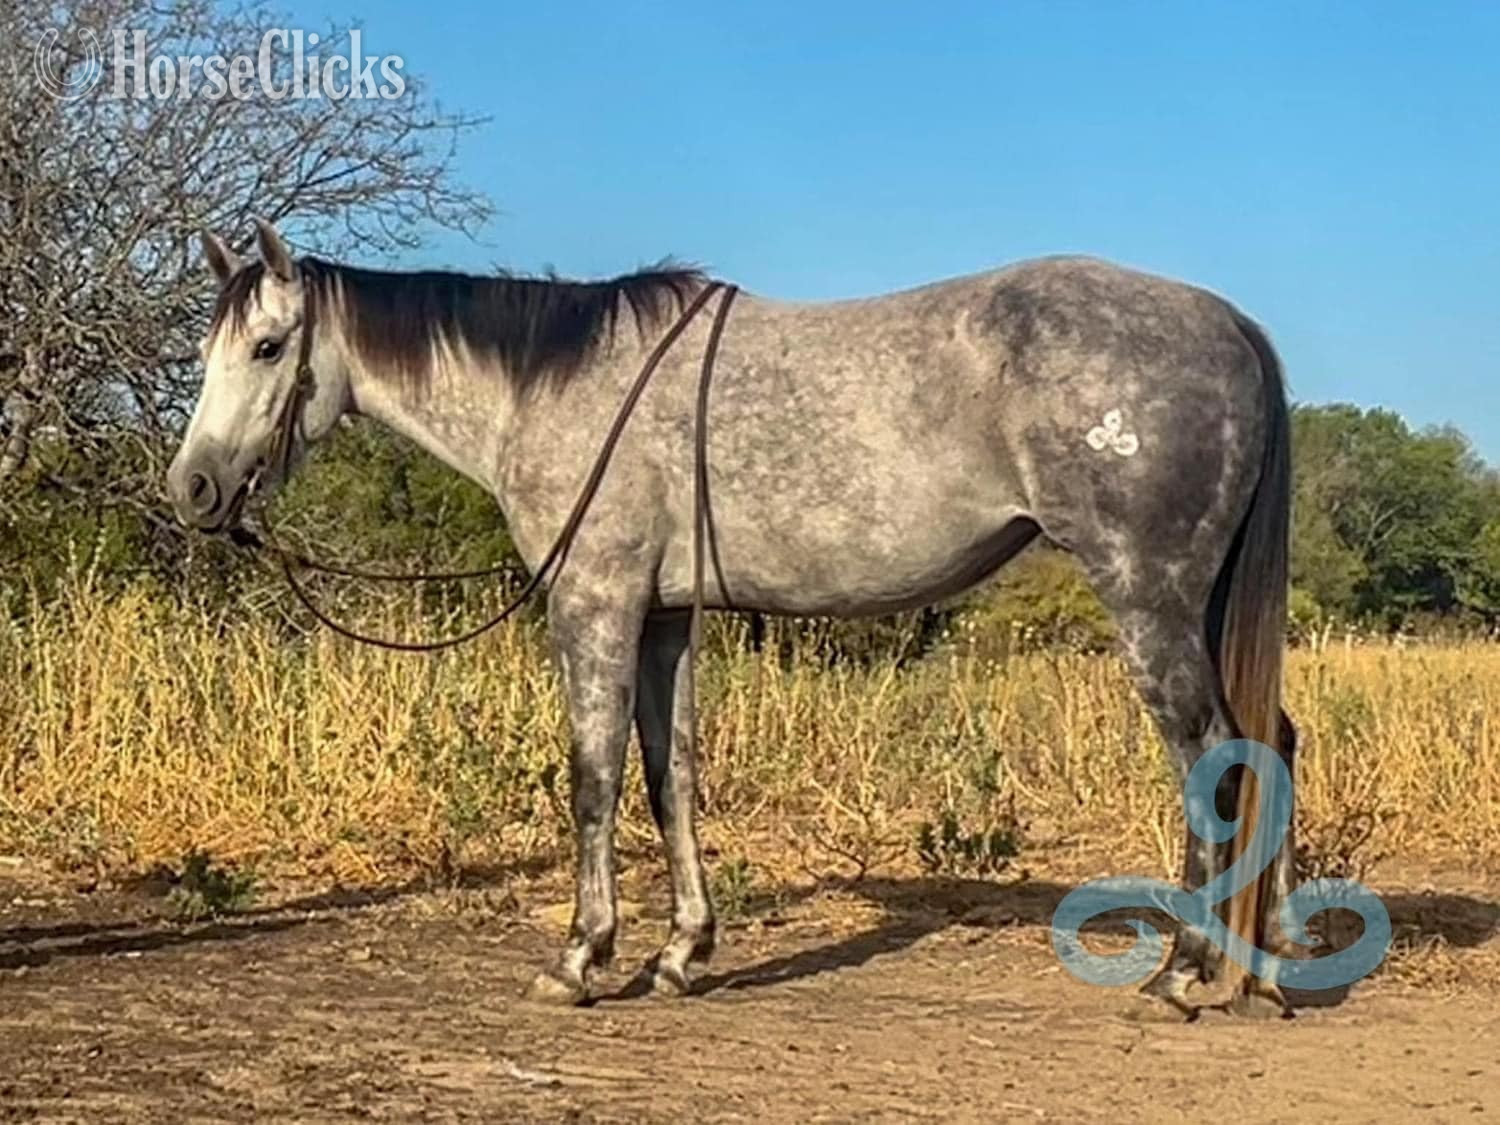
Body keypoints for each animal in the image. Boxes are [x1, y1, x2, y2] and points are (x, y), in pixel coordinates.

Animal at [167, 218, 1297, 1018]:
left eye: (268, 346)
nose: (193, 488)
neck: (559, 389)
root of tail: (1230, 324)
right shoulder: (665, 618)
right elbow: (670, 779)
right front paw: (680, 953)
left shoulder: (596, 601)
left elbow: (593, 778)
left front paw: (580, 958)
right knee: (1274, 740)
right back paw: (1271, 961)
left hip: (1147, 599)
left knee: (1214, 754)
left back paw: (1186, 971)